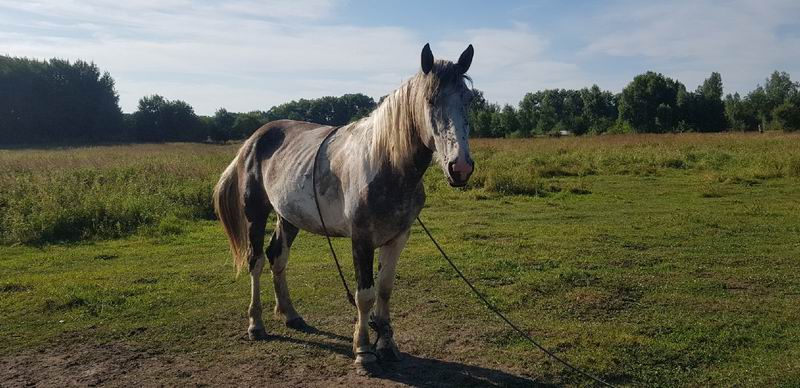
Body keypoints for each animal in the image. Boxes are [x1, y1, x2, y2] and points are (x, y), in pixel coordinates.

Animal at [212, 43, 476, 370]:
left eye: (469, 99)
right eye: (430, 100)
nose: (460, 167)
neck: (385, 162)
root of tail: (253, 140)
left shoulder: (398, 237)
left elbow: (385, 290)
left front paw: (387, 344)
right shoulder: (361, 239)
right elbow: (365, 295)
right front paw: (363, 350)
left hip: (289, 217)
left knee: (278, 258)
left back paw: (291, 315)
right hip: (255, 214)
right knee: (257, 261)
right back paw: (256, 325)